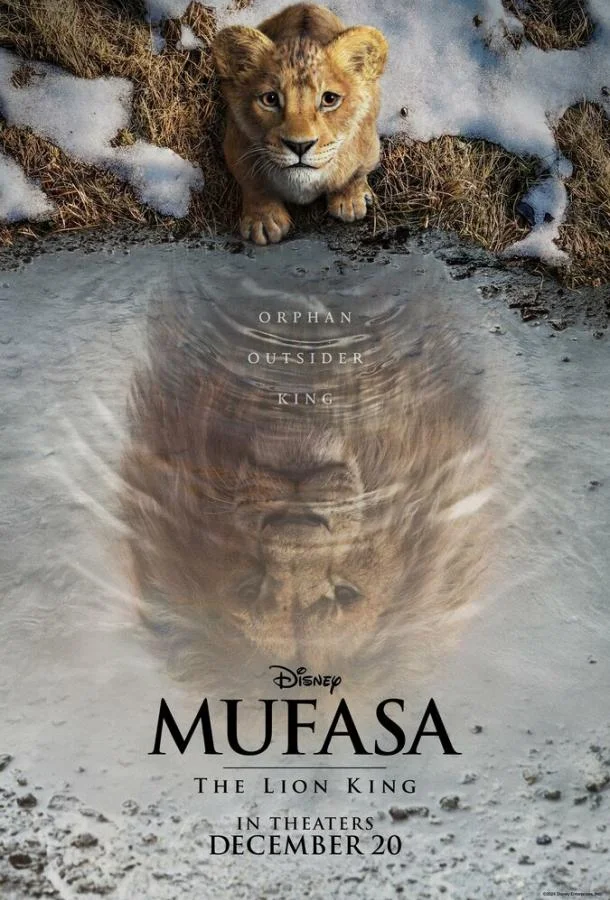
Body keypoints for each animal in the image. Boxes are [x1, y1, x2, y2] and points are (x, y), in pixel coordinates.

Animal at [213, 3, 388, 245]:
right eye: (270, 99)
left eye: (329, 99)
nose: (299, 146)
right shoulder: (235, 145)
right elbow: (253, 183)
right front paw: (264, 221)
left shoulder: (369, 145)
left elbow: (355, 174)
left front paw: (350, 201)